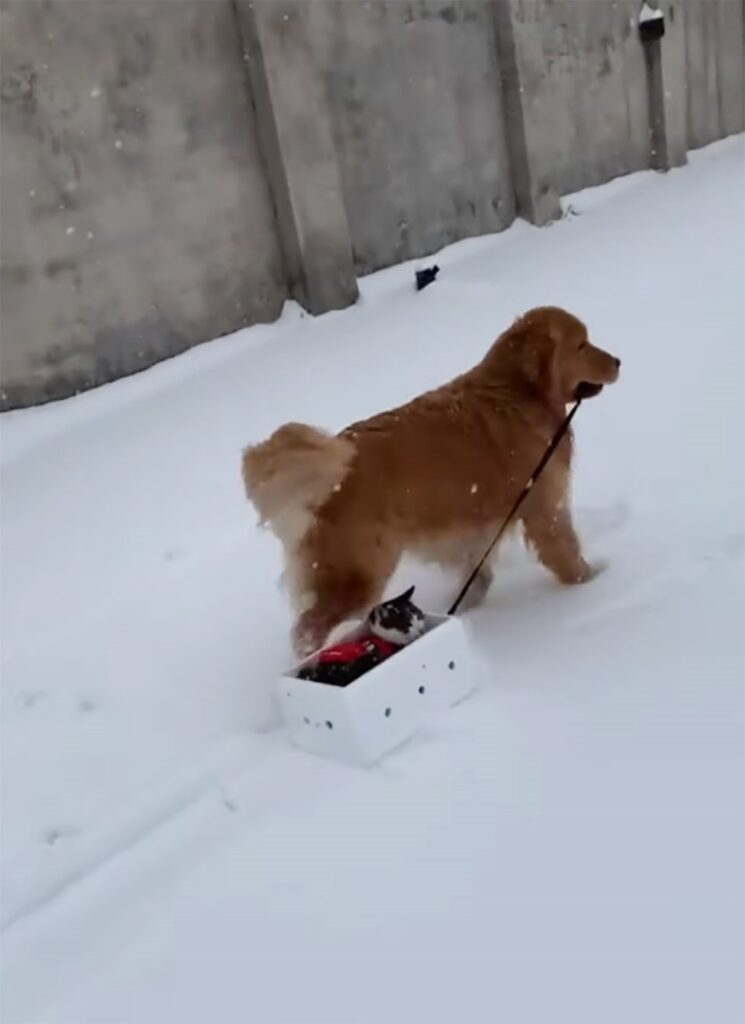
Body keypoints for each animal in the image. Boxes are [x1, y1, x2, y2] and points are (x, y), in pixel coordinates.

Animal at [241, 305, 618, 655]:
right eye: (581, 344)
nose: (618, 361)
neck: (518, 391)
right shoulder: (544, 507)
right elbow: (567, 554)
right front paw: (594, 581)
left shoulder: (474, 528)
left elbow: (478, 576)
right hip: (358, 574)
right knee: (309, 628)